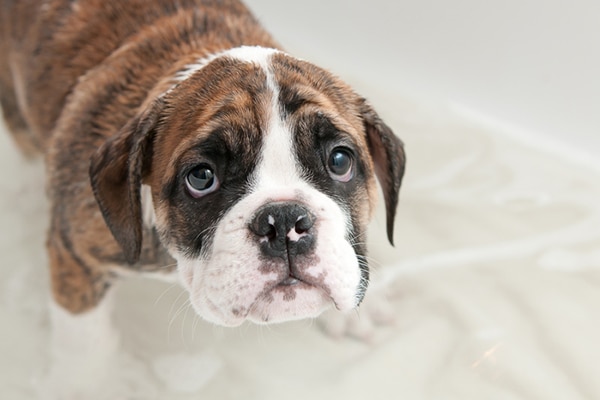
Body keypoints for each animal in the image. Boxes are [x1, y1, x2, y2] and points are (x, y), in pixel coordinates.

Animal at [0, 0, 406, 390]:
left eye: (340, 160)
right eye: (201, 177)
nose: (284, 221)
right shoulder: (77, 255)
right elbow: (83, 343)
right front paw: (82, 386)